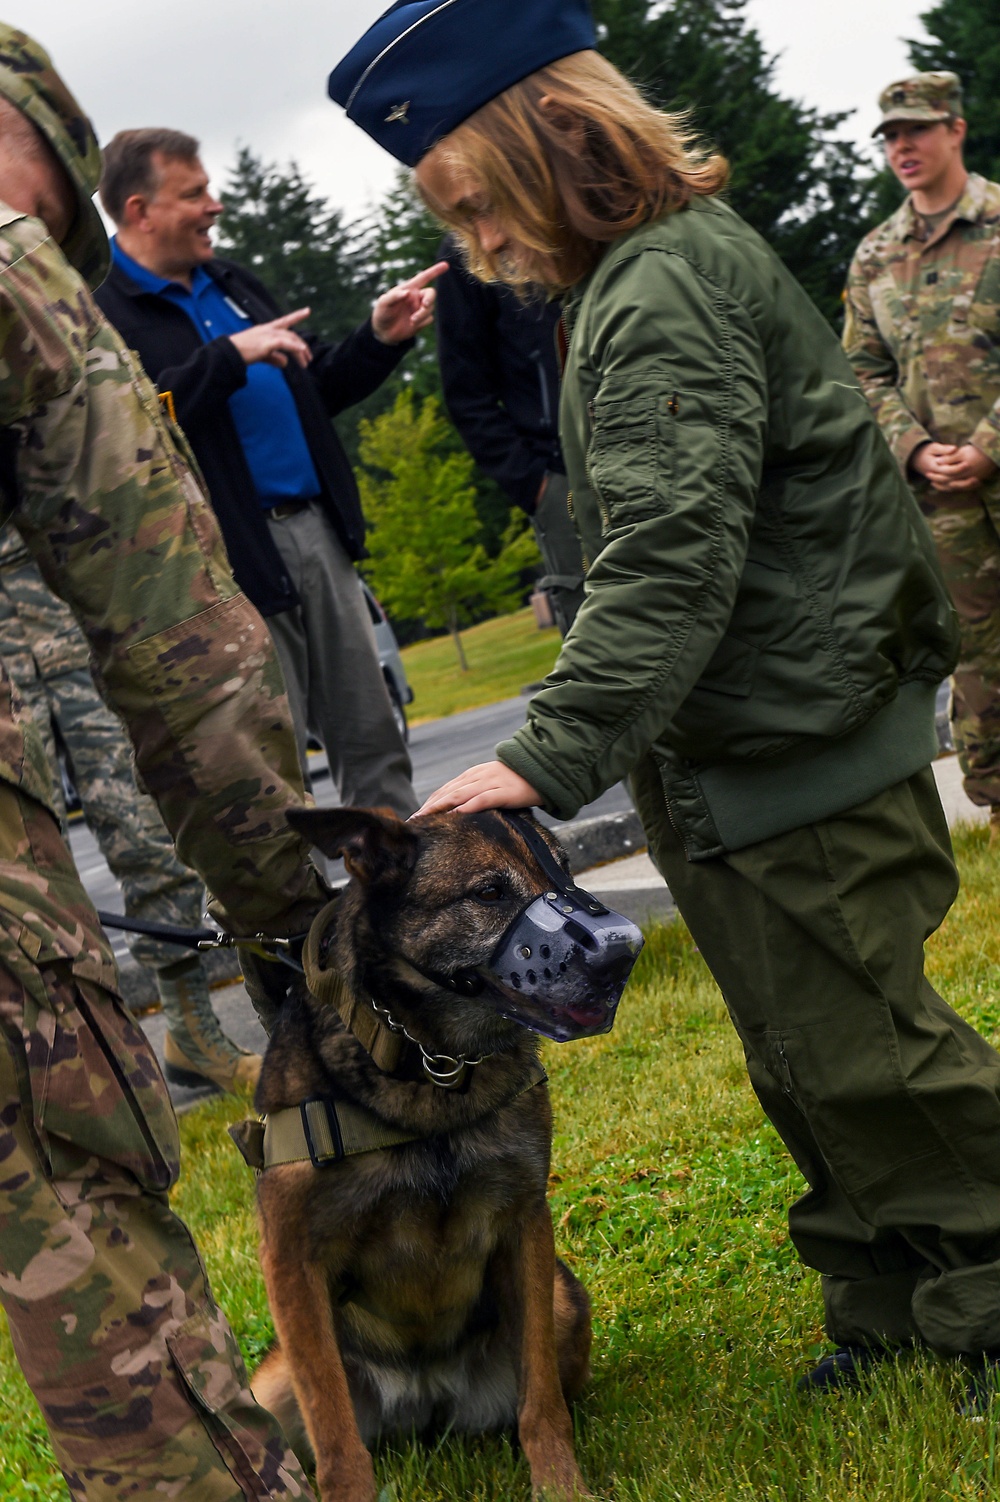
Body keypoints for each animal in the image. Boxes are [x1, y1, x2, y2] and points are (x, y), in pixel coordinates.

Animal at [240, 811, 615, 1502]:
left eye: (566, 870)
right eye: (488, 893)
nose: (618, 952)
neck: (433, 1069)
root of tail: (425, 1402)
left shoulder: (524, 1226)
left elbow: (541, 1401)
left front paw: (561, 1487)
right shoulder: (290, 1262)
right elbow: (336, 1439)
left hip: (563, 1301)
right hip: (270, 1385)